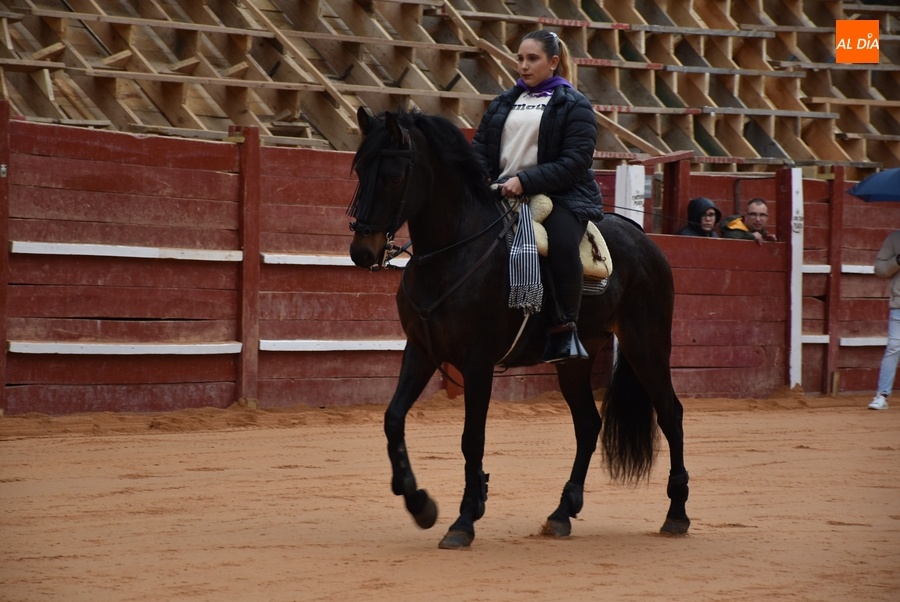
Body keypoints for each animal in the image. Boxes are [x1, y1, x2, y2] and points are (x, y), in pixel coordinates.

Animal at [347, 107, 689, 549]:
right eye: (359, 170)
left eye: (391, 176)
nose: (362, 251)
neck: (453, 253)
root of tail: (643, 238)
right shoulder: (421, 350)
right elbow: (393, 419)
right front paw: (421, 504)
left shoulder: (477, 363)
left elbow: (472, 438)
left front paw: (463, 521)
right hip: (575, 360)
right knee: (588, 424)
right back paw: (561, 513)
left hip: (645, 344)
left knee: (670, 414)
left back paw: (676, 514)